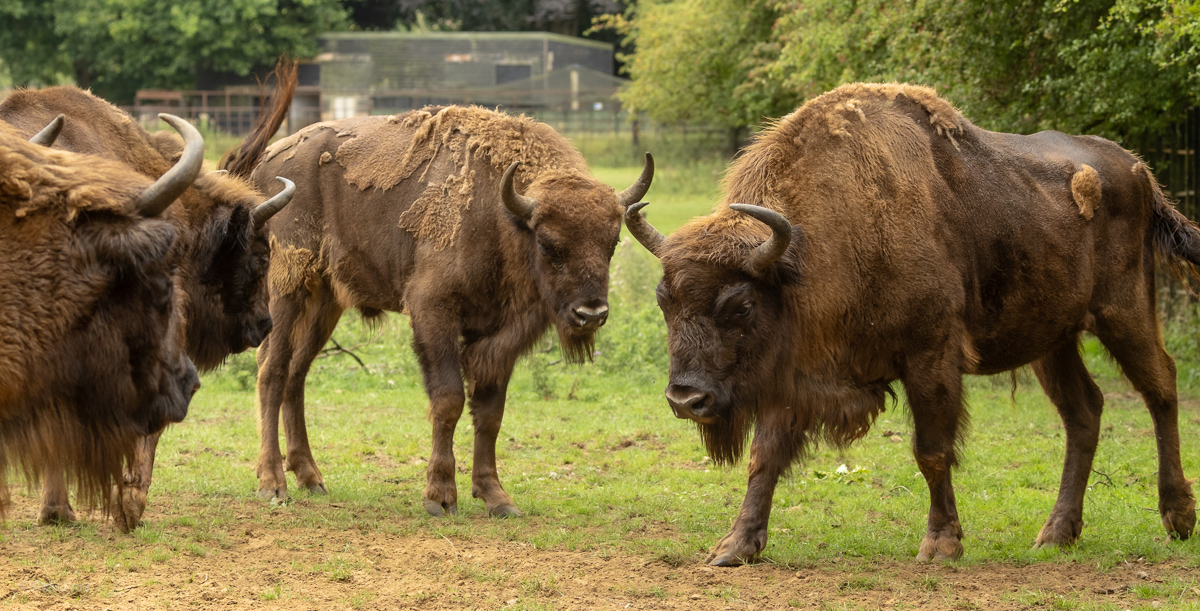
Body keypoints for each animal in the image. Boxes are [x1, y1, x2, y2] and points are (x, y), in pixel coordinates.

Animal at [249, 106, 651, 515]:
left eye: (612, 243)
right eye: (547, 243)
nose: (591, 314)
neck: (501, 216)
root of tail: (266, 163)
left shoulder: (497, 338)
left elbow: (490, 414)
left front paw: (495, 496)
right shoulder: (433, 313)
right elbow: (449, 400)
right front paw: (440, 497)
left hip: (324, 302)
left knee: (296, 373)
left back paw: (310, 477)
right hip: (287, 290)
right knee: (272, 371)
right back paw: (273, 484)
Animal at [626, 83, 1197, 565]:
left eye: (740, 306)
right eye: (663, 300)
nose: (685, 399)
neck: (804, 257)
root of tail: (1139, 170)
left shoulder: (930, 357)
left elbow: (932, 450)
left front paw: (941, 545)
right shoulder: (789, 376)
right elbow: (764, 457)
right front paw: (734, 547)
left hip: (1123, 312)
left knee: (1161, 387)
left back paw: (1177, 518)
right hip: (1052, 338)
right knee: (1084, 410)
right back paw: (1056, 534)